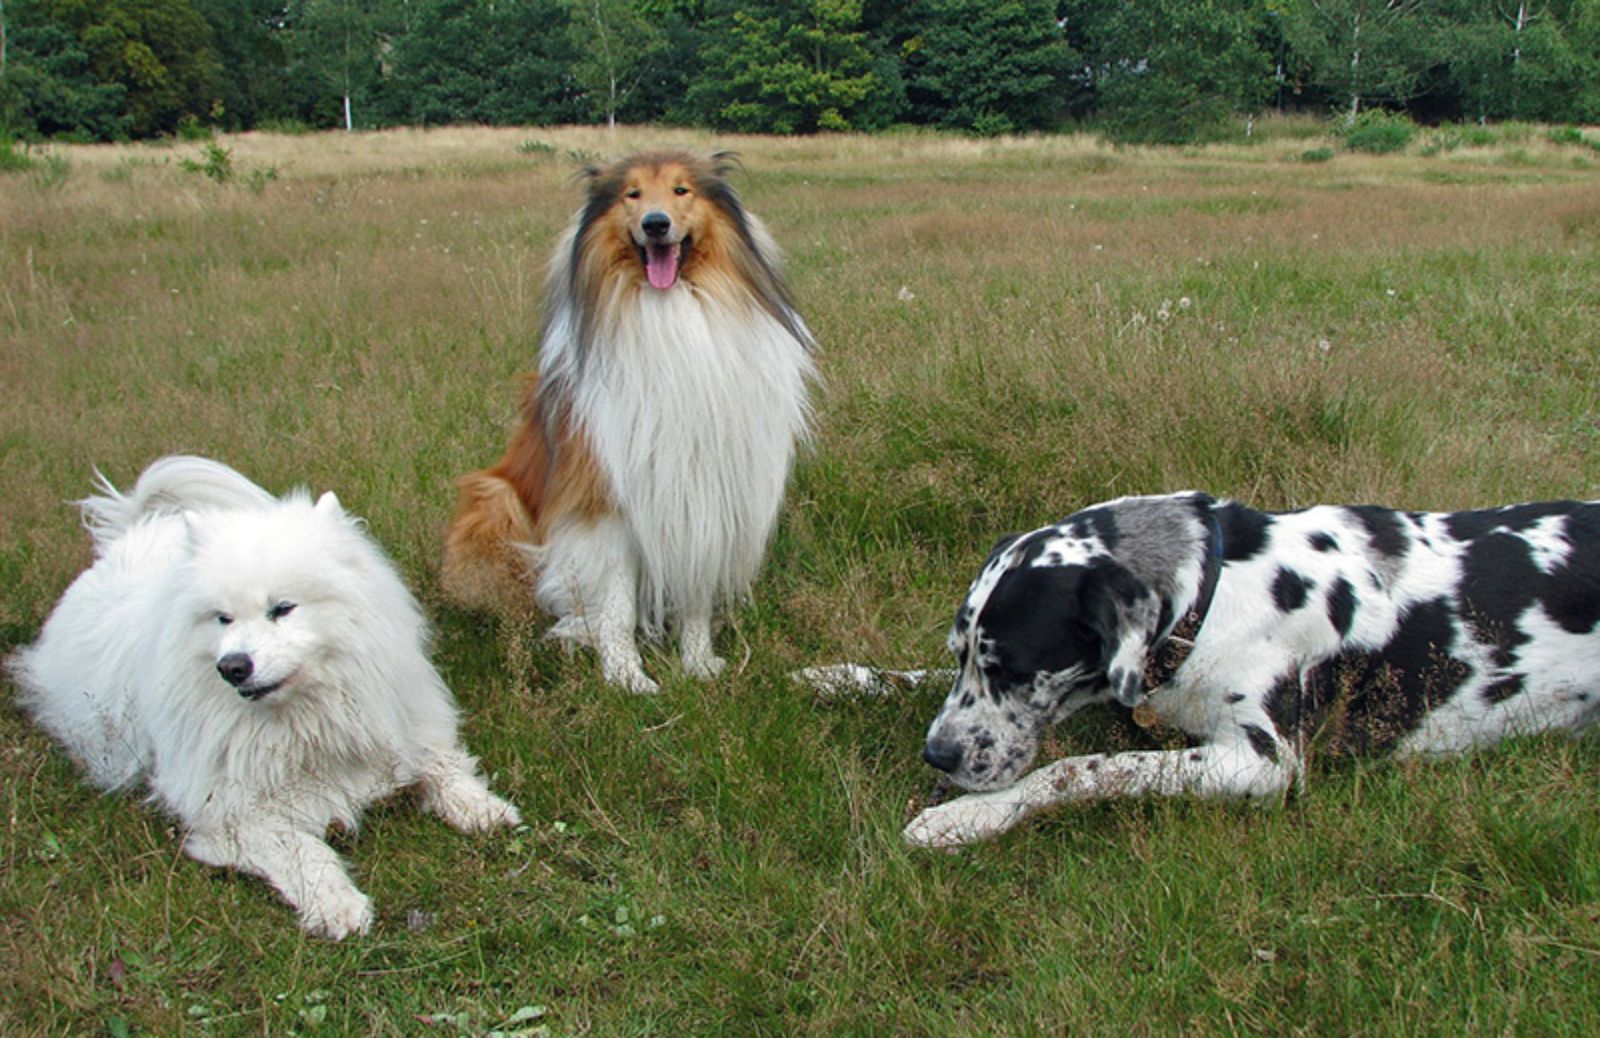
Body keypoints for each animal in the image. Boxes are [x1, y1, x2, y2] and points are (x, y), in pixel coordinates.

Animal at [9, 457, 521, 934]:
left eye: (283, 608)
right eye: (223, 618)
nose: (232, 666)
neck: (308, 719)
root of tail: (133, 534)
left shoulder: (403, 728)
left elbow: (443, 767)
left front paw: (484, 809)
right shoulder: (236, 814)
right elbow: (303, 849)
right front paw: (338, 905)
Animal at [448, 149, 819, 690]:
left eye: (682, 190)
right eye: (633, 194)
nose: (656, 224)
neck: (667, 308)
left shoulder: (704, 489)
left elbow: (694, 591)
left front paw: (698, 662)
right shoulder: (606, 498)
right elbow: (617, 603)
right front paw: (626, 676)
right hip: (495, 499)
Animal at [896, 489, 1600, 844]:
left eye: (1012, 668)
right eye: (962, 654)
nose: (938, 755)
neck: (1212, 593)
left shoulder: (1262, 762)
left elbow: (1084, 768)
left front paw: (968, 818)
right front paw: (866, 678)